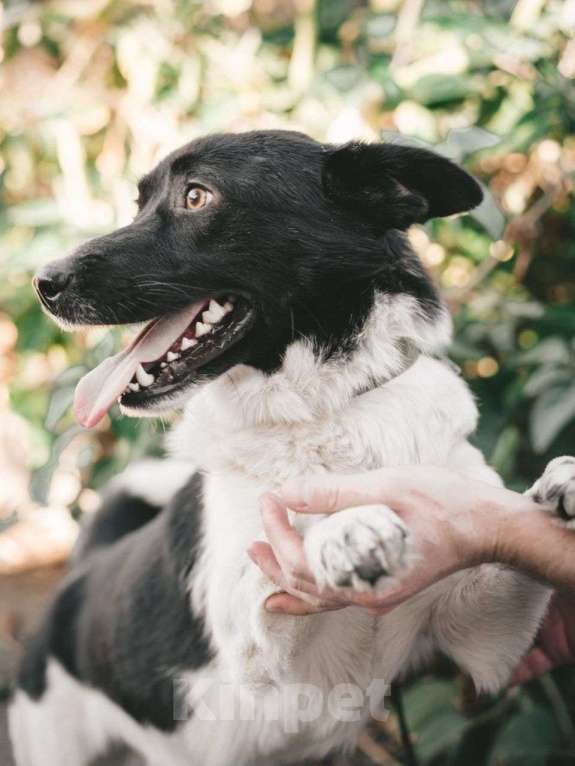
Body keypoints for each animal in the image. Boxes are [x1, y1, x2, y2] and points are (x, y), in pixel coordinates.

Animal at [9, 129, 575, 764]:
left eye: (196, 196)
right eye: (140, 203)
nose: (43, 283)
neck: (324, 409)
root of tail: (78, 577)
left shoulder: (490, 639)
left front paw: (562, 481)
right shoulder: (260, 666)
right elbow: (282, 535)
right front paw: (343, 528)